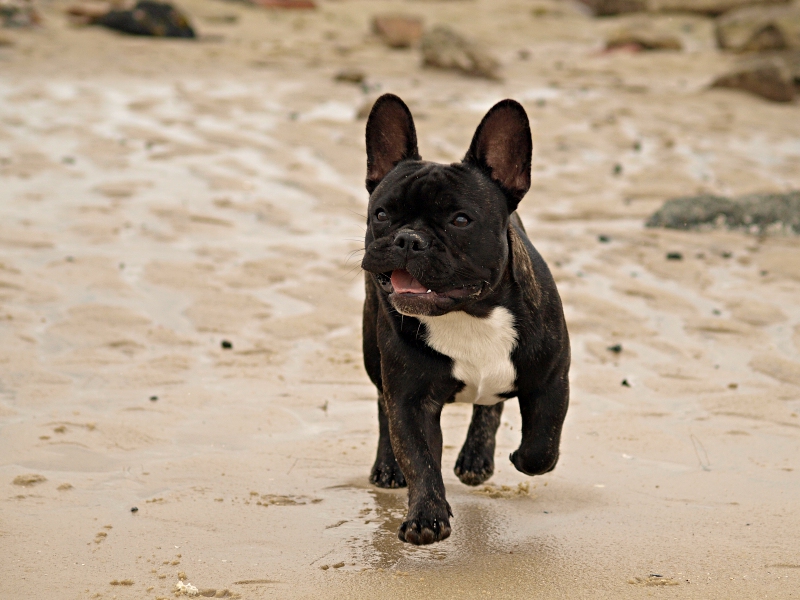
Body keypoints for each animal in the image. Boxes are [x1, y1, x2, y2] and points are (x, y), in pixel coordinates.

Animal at [360, 92, 572, 544]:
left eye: (460, 220)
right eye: (382, 214)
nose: (409, 239)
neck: (469, 314)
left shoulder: (551, 379)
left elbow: (542, 445)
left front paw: (519, 456)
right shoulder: (410, 399)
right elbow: (419, 458)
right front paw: (426, 516)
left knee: (491, 407)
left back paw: (477, 457)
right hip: (372, 350)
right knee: (382, 403)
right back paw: (387, 468)